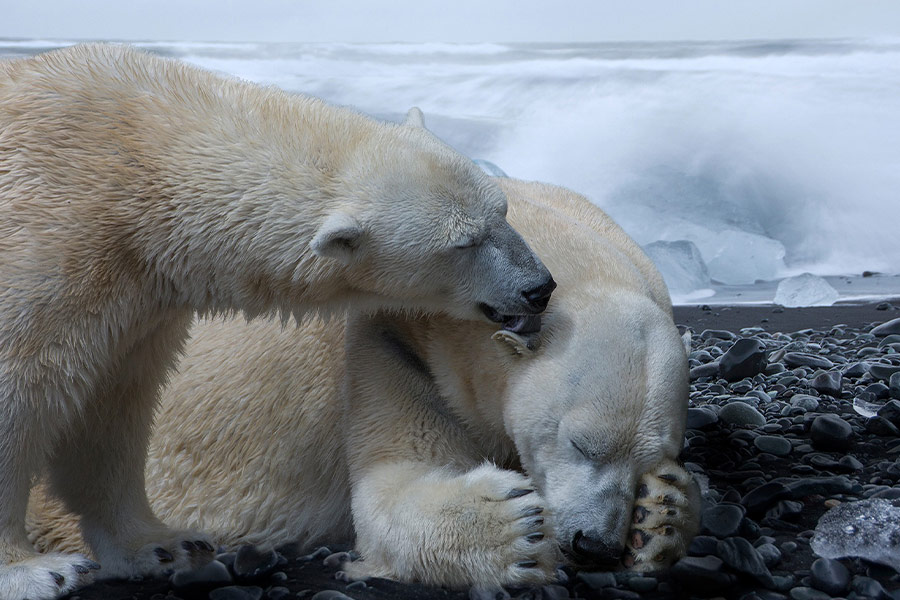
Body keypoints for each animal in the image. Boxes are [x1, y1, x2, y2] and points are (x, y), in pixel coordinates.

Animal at [0, 45, 554, 600]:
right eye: (463, 243)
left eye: (503, 210)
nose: (539, 286)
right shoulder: (50, 248)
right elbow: (20, 395)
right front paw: (35, 570)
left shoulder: (137, 301)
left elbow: (111, 409)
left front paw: (160, 544)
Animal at [28, 176, 699, 591]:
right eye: (580, 443)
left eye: (655, 454)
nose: (594, 543)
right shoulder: (390, 342)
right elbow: (394, 484)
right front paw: (514, 529)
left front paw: (662, 514)